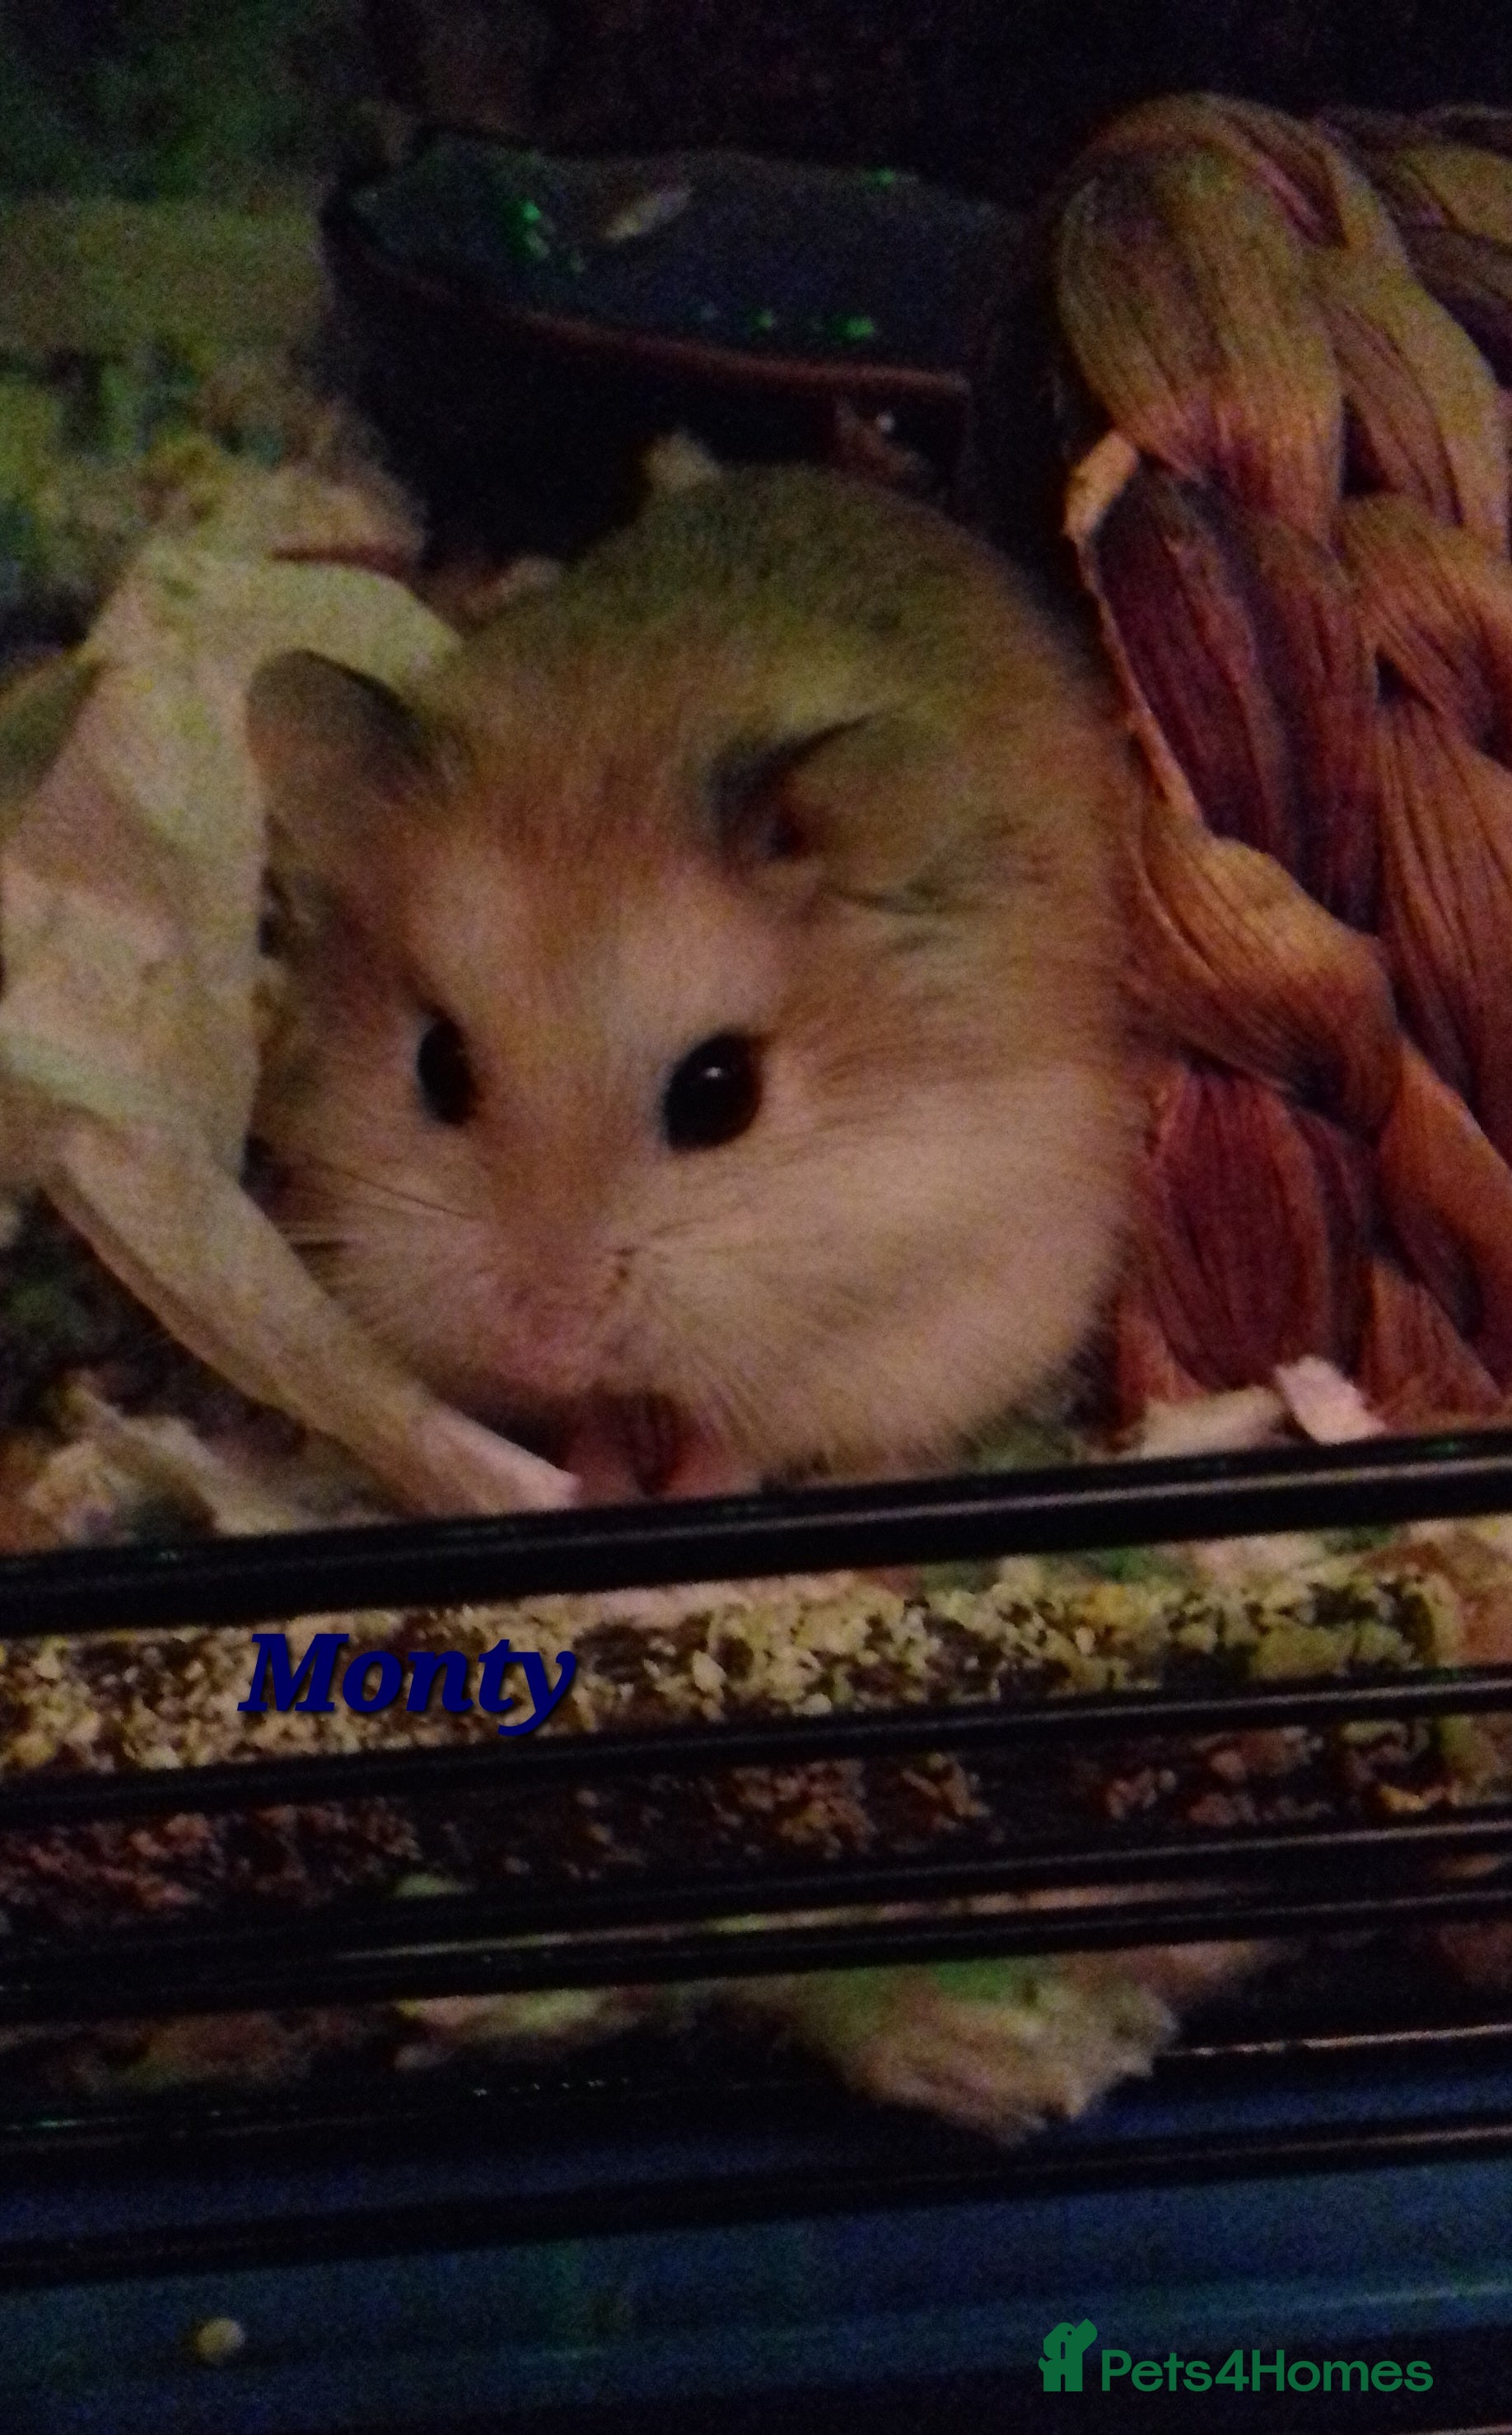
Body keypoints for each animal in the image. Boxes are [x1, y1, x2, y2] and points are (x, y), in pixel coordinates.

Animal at [246, 466, 1140, 1501]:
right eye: (438, 1066)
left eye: (721, 1095)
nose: (546, 1341)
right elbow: (593, 1417)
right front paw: (596, 1479)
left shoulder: (898, 1306)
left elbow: (743, 1424)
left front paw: (690, 1485)